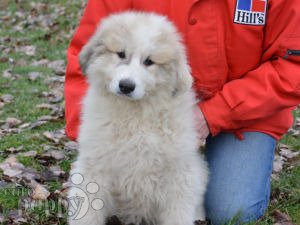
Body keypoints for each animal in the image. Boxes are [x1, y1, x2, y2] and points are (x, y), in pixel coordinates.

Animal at [68, 11, 209, 225]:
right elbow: (88, 209)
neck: (135, 116)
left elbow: (177, 213)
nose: (126, 86)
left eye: (149, 61)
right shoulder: (95, 165)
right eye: (121, 54)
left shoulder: (178, 174)